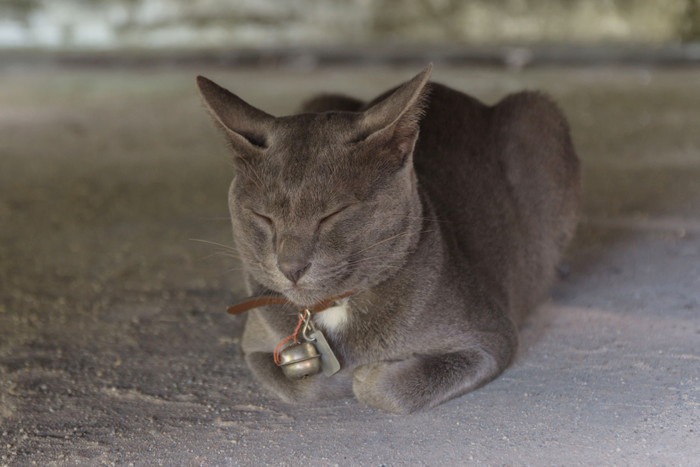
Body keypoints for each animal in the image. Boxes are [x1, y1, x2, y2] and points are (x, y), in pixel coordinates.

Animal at [196, 65, 580, 414]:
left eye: (334, 213)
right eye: (263, 216)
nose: (291, 266)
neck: (334, 309)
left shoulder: (491, 336)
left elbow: (388, 390)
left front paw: (367, 374)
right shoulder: (253, 343)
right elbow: (300, 385)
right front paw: (338, 376)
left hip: (537, 114)